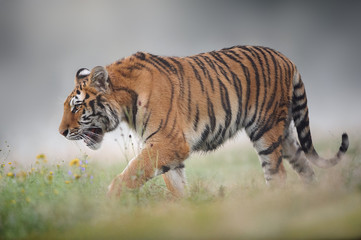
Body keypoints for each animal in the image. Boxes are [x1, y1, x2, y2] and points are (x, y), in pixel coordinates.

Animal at [57, 45, 348, 197]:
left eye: (77, 106)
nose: (61, 132)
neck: (127, 102)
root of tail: (286, 58)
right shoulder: (167, 149)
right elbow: (176, 186)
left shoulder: (169, 142)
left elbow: (133, 172)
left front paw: (110, 200)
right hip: (283, 134)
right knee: (304, 166)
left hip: (265, 130)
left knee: (278, 174)